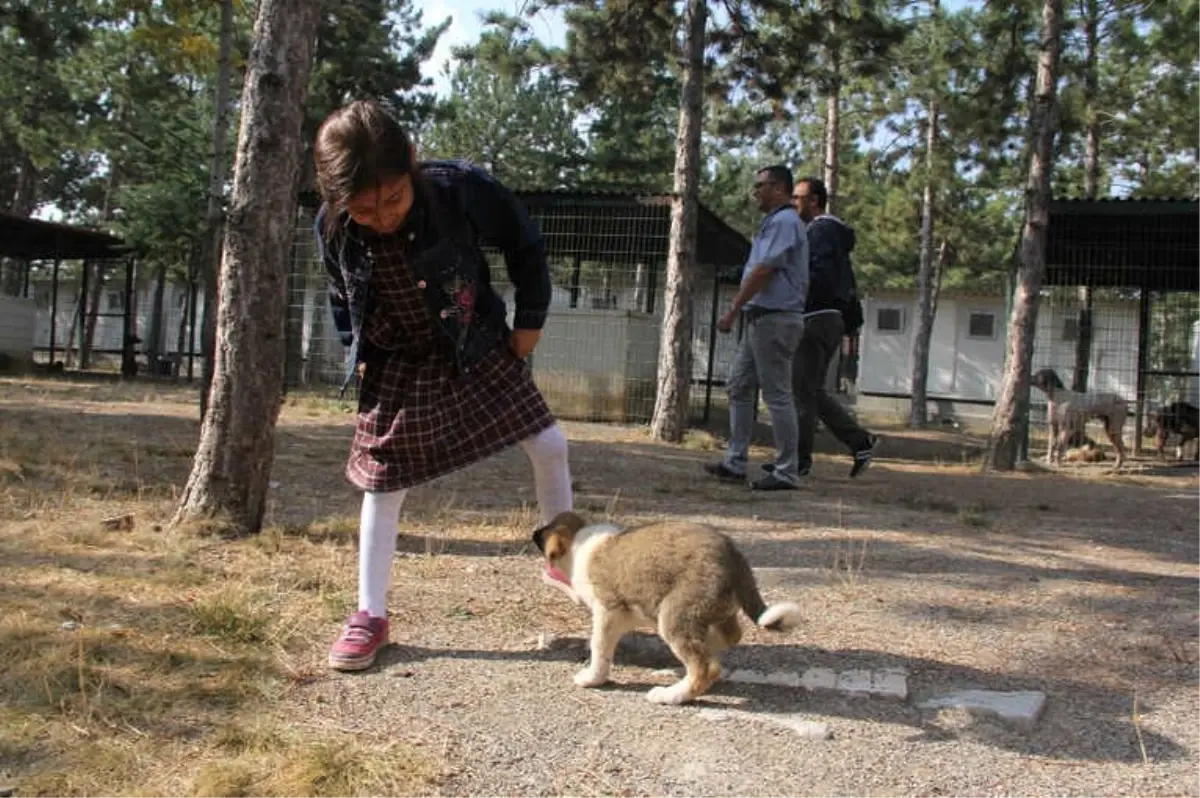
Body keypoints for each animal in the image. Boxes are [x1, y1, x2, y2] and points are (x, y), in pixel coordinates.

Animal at [532, 511, 796, 705]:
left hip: (676, 615)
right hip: (714, 611)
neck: (578, 546)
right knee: (729, 638)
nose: (534, 532)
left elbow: (599, 648)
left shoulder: (608, 611)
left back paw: (671, 695)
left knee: (706, 668)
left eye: (544, 533)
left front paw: (592, 678)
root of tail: (735, 558)